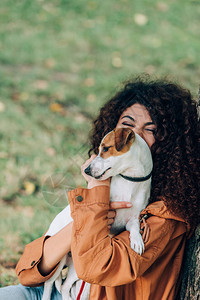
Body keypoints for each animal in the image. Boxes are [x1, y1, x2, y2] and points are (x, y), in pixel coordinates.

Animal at [41, 127, 152, 300]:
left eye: (105, 148)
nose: (86, 170)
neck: (130, 181)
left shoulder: (132, 219)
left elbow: (134, 228)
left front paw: (137, 240)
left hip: (79, 269)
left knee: (66, 286)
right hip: (58, 259)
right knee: (49, 282)